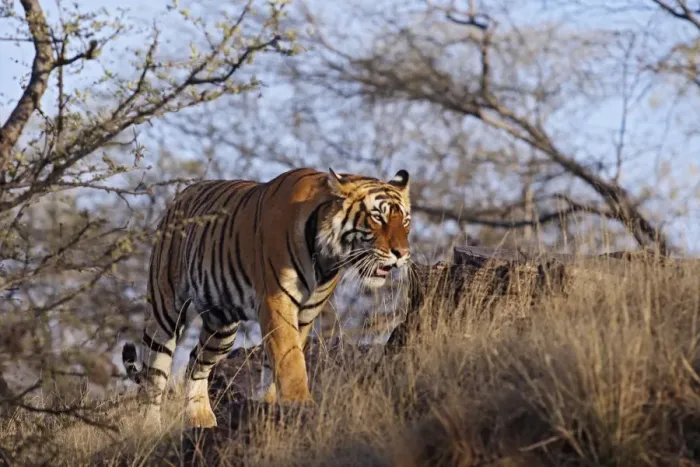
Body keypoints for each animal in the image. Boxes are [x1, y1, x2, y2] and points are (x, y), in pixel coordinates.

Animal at [121, 167, 411, 428]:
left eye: (406, 221)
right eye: (377, 217)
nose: (402, 253)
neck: (326, 257)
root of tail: (181, 196)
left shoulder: (306, 313)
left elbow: (280, 362)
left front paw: (271, 406)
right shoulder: (277, 302)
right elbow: (289, 358)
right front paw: (299, 404)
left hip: (221, 326)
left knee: (196, 362)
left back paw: (201, 420)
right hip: (165, 309)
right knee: (153, 376)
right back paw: (149, 429)